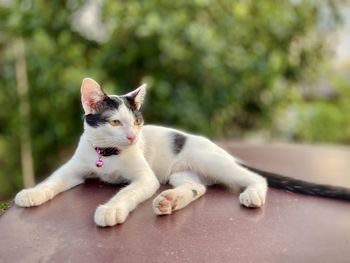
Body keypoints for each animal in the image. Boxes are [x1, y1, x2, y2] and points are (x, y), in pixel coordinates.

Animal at [15, 78, 350, 227]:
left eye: (137, 121)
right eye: (114, 122)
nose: (133, 136)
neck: (107, 154)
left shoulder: (145, 179)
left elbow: (127, 191)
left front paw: (111, 209)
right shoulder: (75, 166)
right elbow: (53, 180)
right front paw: (32, 193)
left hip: (211, 161)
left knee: (254, 177)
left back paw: (252, 193)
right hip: (181, 173)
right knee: (198, 188)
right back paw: (170, 201)